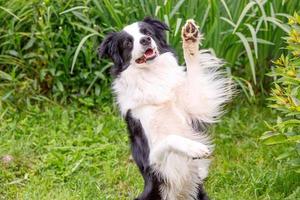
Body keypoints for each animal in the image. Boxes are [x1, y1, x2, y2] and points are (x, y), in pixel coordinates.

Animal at [99, 17, 232, 200]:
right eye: (128, 43)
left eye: (147, 32)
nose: (145, 40)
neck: (152, 75)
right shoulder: (153, 160)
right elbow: (171, 138)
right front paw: (195, 148)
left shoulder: (194, 104)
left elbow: (193, 70)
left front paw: (190, 38)